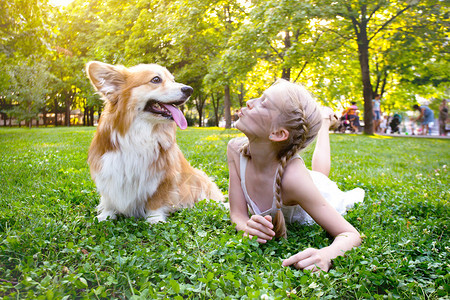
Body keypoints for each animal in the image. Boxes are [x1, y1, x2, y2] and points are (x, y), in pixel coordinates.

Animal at [85, 61, 224, 223]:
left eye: (173, 80)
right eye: (156, 79)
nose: (189, 90)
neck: (140, 134)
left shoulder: (163, 176)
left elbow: (156, 199)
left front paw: (155, 219)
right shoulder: (108, 170)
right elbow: (108, 198)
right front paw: (106, 215)